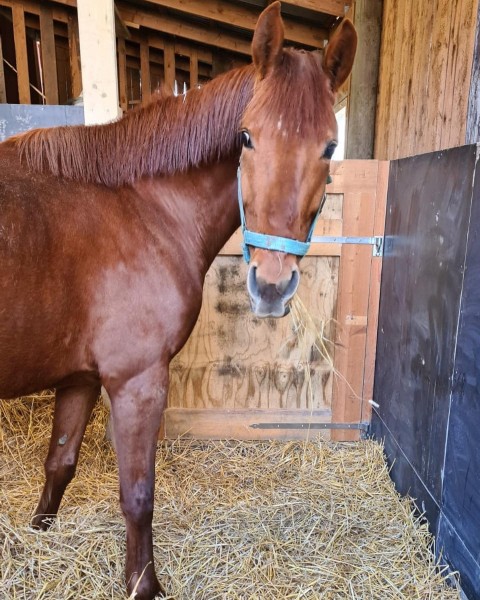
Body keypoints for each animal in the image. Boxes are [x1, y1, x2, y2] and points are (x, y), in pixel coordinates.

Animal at [0, 5, 352, 600]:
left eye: (329, 148)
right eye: (247, 137)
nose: (271, 286)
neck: (139, 208)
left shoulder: (81, 377)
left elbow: (60, 462)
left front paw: (38, 535)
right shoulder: (136, 381)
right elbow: (138, 495)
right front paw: (144, 583)